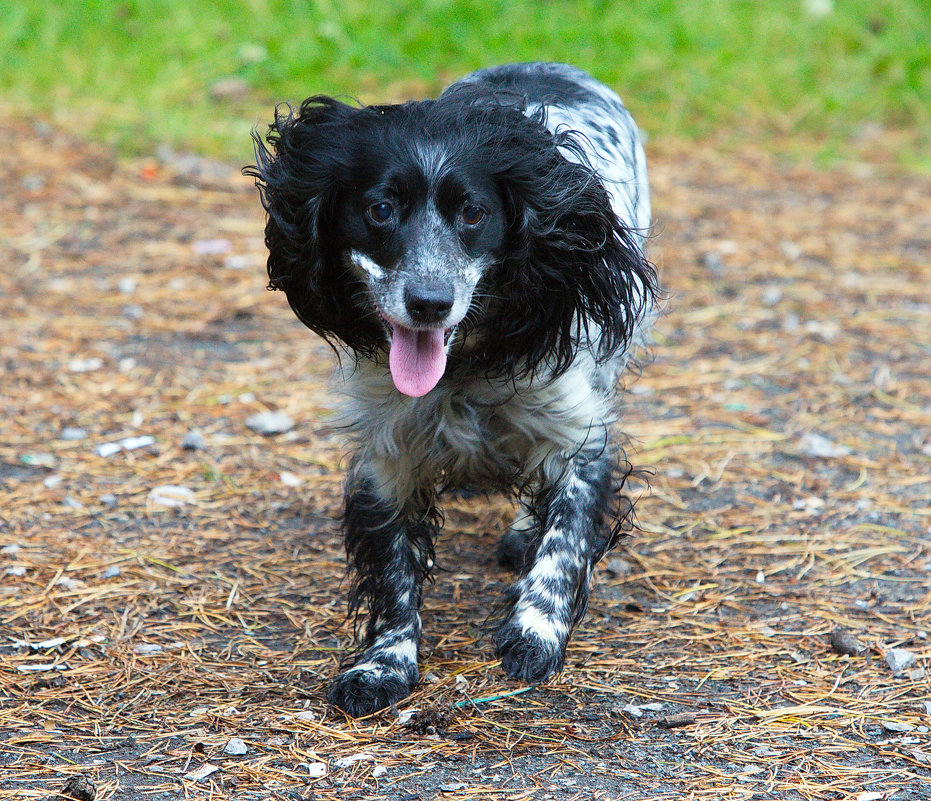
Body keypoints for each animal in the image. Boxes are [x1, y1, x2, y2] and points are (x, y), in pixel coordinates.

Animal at [246, 62, 656, 712]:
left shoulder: (579, 432)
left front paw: (535, 633)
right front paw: (383, 664)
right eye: (380, 208)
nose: (430, 302)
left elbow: (564, 545)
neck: (463, 367)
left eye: (472, 213)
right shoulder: (388, 455)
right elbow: (394, 570)